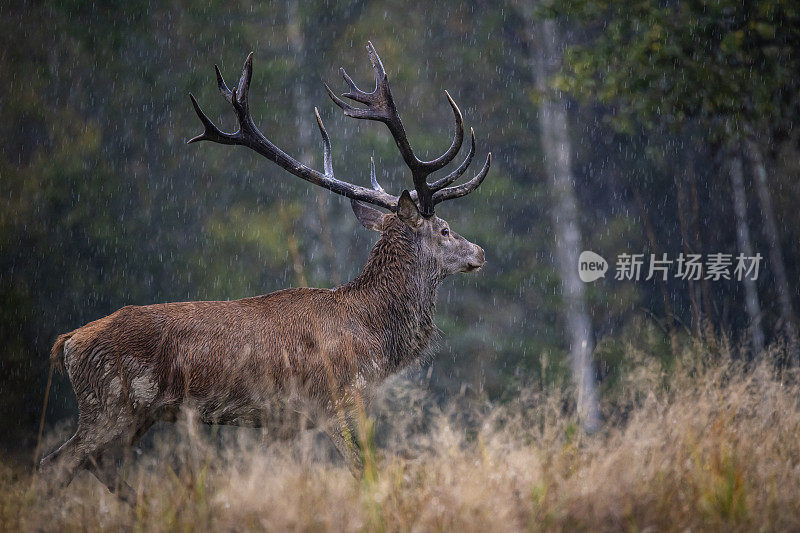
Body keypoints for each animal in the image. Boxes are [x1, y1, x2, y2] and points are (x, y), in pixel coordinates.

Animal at [40, 41, 490, 498]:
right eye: (444, 230)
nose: (480, 252)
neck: (374, 334)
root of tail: (68, 342)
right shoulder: (338, 399)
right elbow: (361, 470)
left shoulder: (283, 422)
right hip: (110, 404)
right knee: (57, 462)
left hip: (133, 415)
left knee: (97, 464)